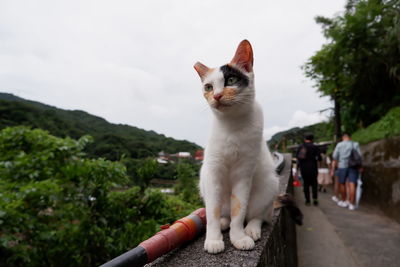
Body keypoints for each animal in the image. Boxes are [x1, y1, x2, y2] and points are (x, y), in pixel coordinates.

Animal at [194, 40, 278, 255]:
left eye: (231, 80)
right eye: (208, 87)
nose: (216, 95)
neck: (232, 126)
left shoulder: (244, 173)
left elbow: (239, 210)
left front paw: (238, 237)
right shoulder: (212, 172)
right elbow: (212, 212)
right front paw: (213, 239)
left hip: (269, 186)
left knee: (258, 216)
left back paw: (252, 230)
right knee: (223, 212)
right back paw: (224, 222)